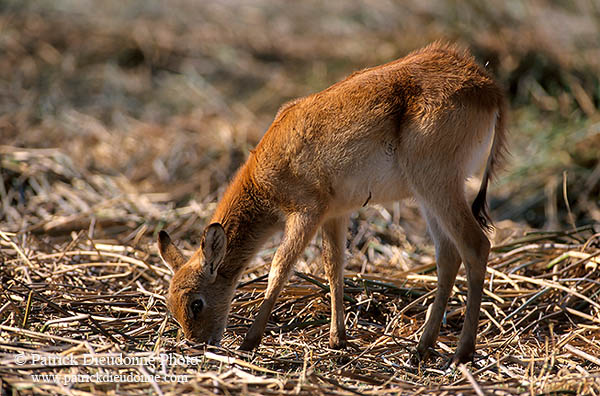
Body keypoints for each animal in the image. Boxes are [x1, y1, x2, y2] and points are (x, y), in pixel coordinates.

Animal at [158, 41, 506, 366]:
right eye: (171, 306)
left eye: (196, 303)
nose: (198, 345)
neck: (264, 174)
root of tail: (487, 87)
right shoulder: (335, 215)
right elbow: (333, 266)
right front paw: (337, 339)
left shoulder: (306, 212)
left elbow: (280, 267)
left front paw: (249, 341)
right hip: (427, 196)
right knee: (448, 256)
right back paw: (420, 349)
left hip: (438, 186)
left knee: (476, 245)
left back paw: (461, 353)